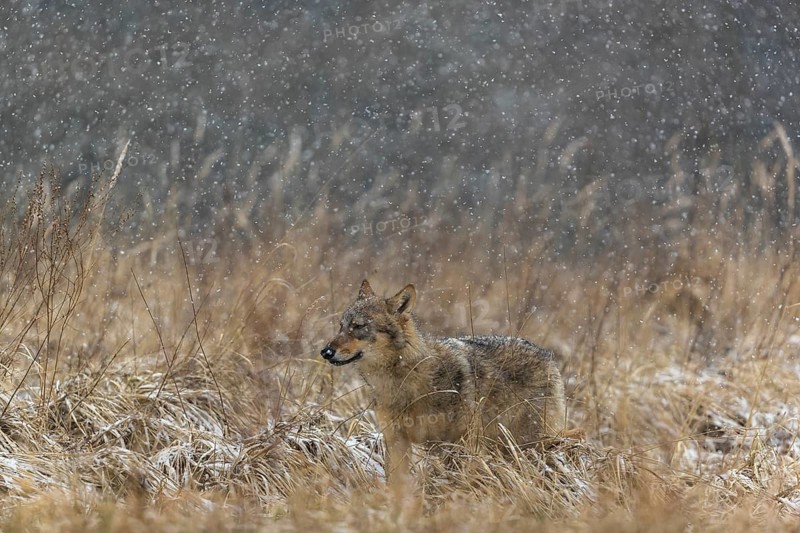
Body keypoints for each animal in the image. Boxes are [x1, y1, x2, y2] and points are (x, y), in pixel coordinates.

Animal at [320, 280, 567, 472]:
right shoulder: (397, 441)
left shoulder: (457, 444)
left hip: (526, 443)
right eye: (341, 326)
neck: (403, 380)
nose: (325, 352)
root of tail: (548, 355)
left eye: (358, 326)